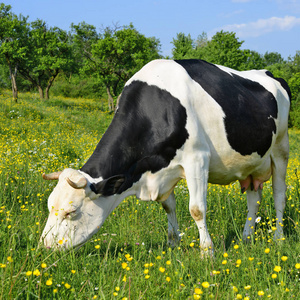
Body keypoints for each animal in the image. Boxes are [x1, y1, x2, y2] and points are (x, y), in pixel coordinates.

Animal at [40, 58, 290, 253]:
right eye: (50, 205)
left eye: (71, 211)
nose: (44, 246)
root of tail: (269, 73)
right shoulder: (162, 169)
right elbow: (169, 206)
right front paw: (173, 244)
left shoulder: (197, 159)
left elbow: (197, 209)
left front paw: (207, 252)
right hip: (251, 166)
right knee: (254, 200)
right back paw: (246, 238)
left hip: (281, 149)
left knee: (279, 195)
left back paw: (279, 238)